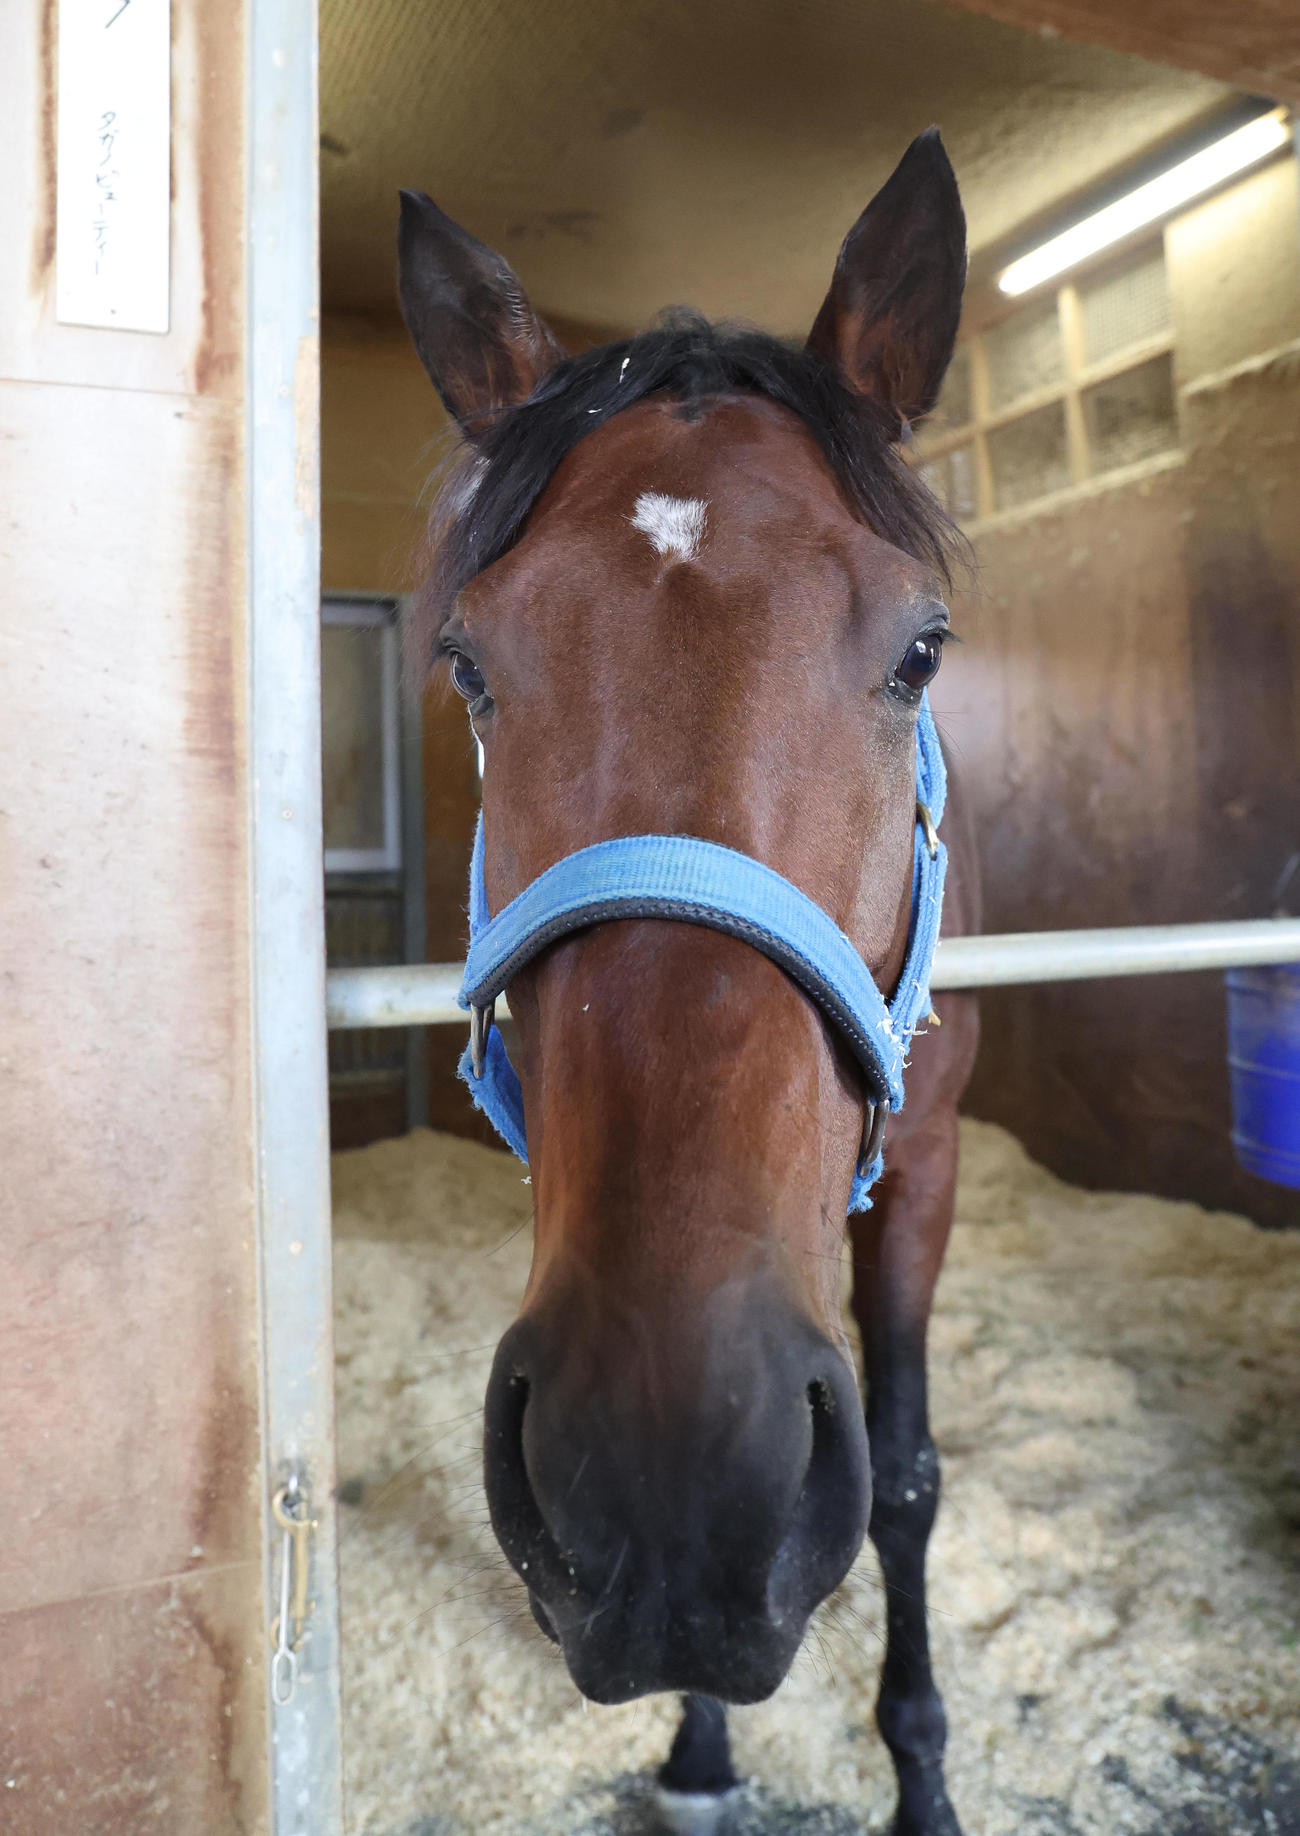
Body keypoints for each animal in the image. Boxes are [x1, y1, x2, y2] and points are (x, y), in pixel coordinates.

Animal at [396, 130, 981, 1836]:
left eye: (921, 652)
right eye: (469, 664)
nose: (665, 1478)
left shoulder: (931, 1157)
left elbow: (905, 1481)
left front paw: (922, 1772)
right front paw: (704, 1752)